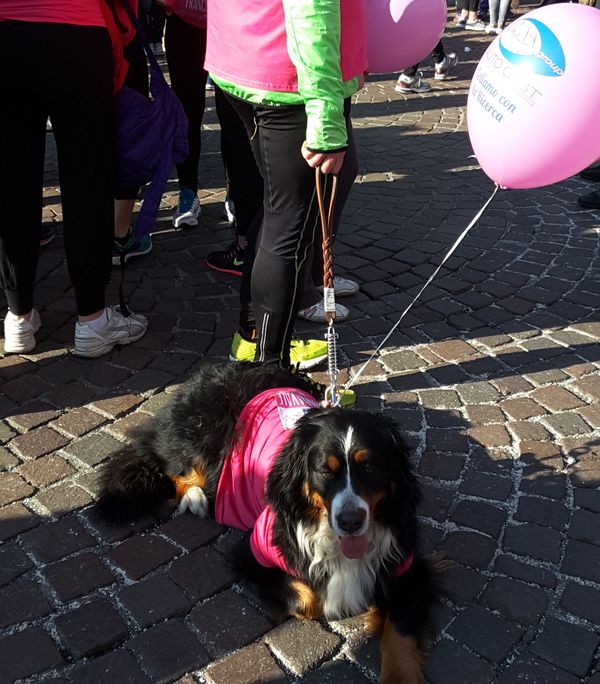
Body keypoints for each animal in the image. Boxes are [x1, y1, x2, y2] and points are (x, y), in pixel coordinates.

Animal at [96, 360, 435, 683]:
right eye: (325, 470)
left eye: (370, 467)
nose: (350, 521)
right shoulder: (253, 552)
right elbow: (308, 600)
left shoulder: (407, 564)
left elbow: (399, 632)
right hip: (204, 434)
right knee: (172, 463)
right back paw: (193, 495)